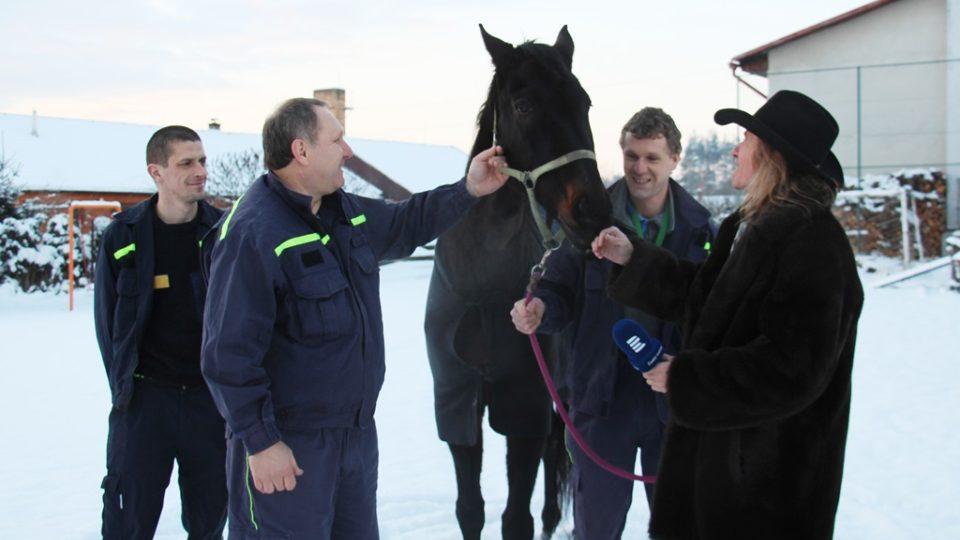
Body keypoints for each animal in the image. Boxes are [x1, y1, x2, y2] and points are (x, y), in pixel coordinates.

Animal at [424, 26, 612, 540]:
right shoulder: (459, 403)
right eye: (524, 105)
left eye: (585, 102)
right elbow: (470, 509)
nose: (593, 213)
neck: (483, 282)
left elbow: (516, 519)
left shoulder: (523, 406)